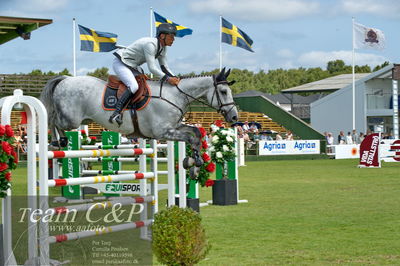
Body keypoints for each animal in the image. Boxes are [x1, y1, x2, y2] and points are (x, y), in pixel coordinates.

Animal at [40, 67, 238, 178]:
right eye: (223, 91)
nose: (235, 118)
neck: (174, 96)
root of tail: (66, 79)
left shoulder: (174, 127)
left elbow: (195, 134)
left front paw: (193, 165)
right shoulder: (163, 132)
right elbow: (190, 138)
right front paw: (193, 163)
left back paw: (60, 141)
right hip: (70, 119)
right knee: (52, 118)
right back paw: (57, 141)